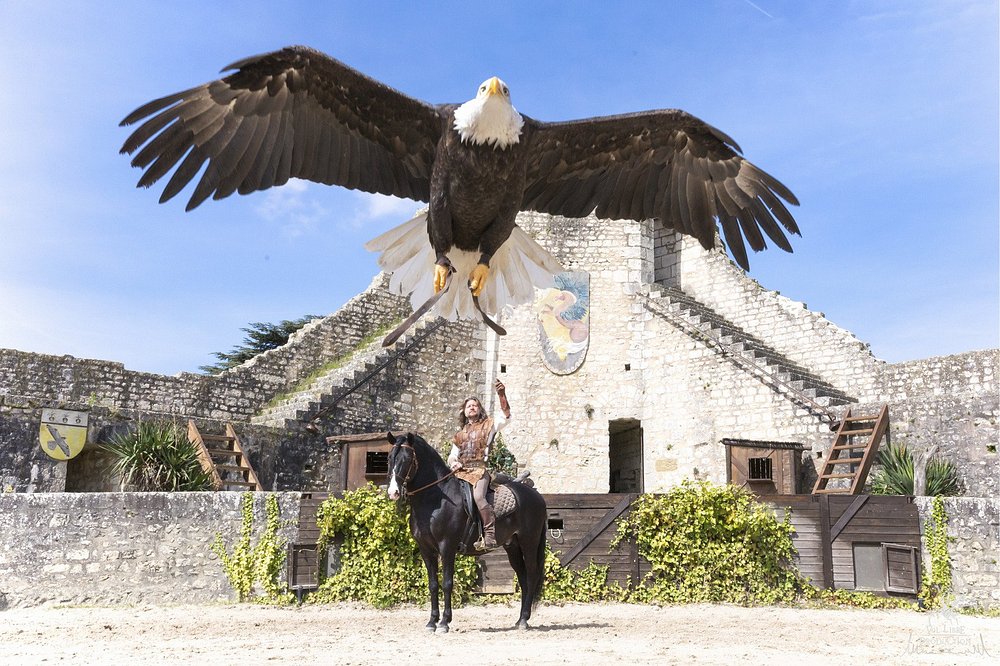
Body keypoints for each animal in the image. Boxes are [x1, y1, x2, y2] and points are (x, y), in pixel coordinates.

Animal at [385, 431, 547, 633]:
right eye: (389, 458)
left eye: (407, 459)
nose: (393, 492)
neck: (435, 499)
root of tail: (537, 496)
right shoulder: (426, 550)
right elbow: (433, 584)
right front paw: (431, 622)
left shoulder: (447, 547)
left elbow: (447, 583)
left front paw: (444, 622)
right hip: (513, 547)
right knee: (523, 577)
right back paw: (519, 620)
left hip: (529, 543)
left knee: (531, 575)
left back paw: (524, 620)